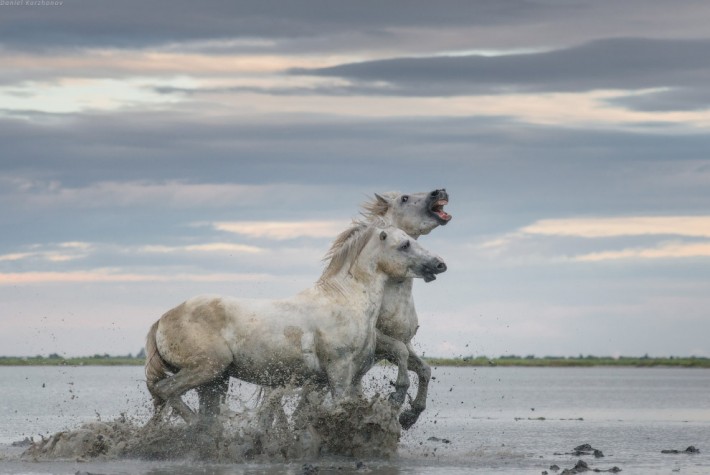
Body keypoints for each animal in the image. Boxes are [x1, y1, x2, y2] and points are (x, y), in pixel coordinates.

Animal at [143, 221, 444, 426]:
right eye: (404, 244)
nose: (440, 264)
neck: (346, 300)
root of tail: (162, 320)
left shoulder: (348, 374)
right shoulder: (339, 371)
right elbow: (339, 408)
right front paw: (397, 400)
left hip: (216, 380)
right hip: (208, 368)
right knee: (166, 390)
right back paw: (195, 428)